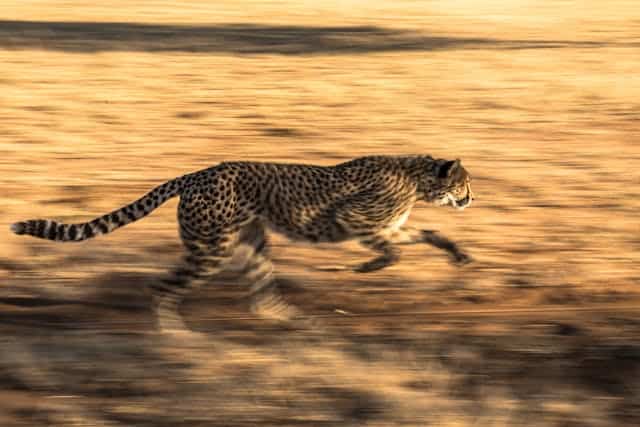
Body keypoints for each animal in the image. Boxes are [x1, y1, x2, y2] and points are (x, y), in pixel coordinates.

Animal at [7, 155, 472, 332]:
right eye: (464, 183)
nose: (472, 199)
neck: (417, 177)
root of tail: (198, 173)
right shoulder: (354, 221)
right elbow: (391, 249)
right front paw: (368, 267)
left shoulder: (389, 226)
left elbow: (427, 235)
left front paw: (459, 254)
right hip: (211, 249)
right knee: (160, 286)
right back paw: (175, 337)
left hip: (250, 243)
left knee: (262, 297)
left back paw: (296, 322)